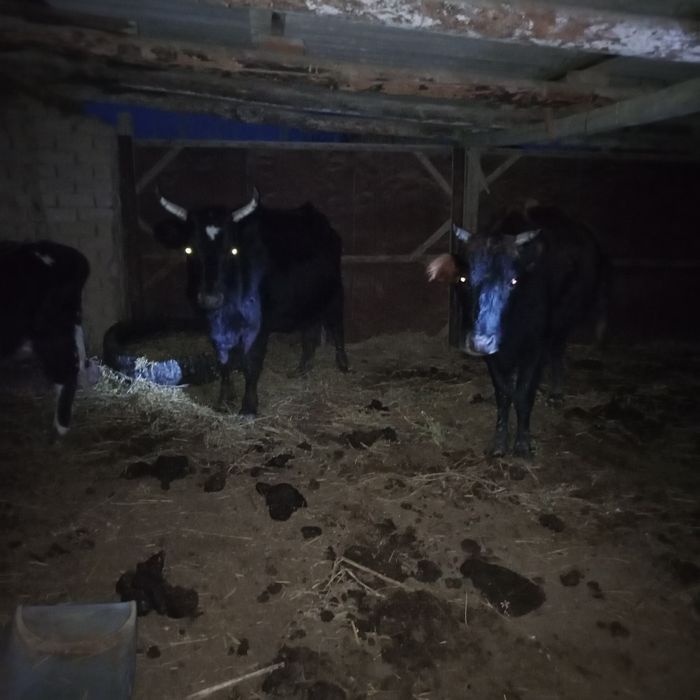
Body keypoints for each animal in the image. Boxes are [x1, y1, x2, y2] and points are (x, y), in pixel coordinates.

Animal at [153, 188, 349, 415]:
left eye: (232, 250)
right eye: (189, 249)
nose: (210, 298)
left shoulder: (259, 326)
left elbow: (252, 363)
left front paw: (248, 406)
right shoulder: (212, 326)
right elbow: (224, 362)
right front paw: (224, 399)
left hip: (335, 292)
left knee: (337, 325)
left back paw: (343, 364)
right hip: (307, 300)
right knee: (309, 334)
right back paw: (302, 370)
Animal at [427, 203, 608, 457]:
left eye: (513, 281)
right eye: (463, 279)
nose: (480, 342)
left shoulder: (535, 348)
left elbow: (523, 395)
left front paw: (522, 444)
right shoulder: (494, 357)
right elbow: (503, 395)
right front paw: (500, 442)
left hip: (565, 319)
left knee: (557, 350)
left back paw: (556, 393)